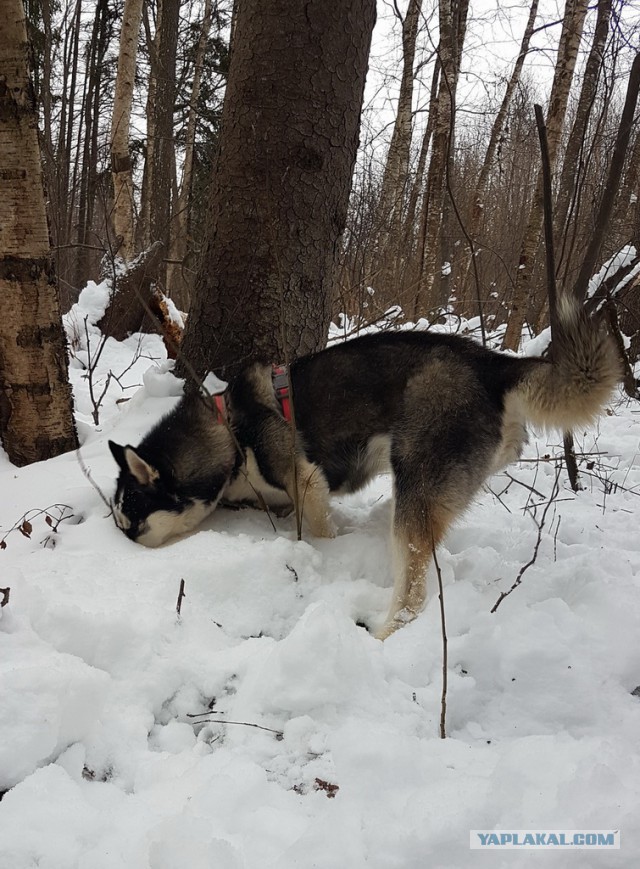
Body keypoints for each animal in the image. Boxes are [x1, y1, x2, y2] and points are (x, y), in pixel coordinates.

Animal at [109, 298, 620, 636]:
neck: (229, 431)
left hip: (414, 489)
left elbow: (317, 530)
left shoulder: (306, 482)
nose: (120, 553)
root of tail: (495, 366)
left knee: (412, 593)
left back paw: (382, 635)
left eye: (133, 523)